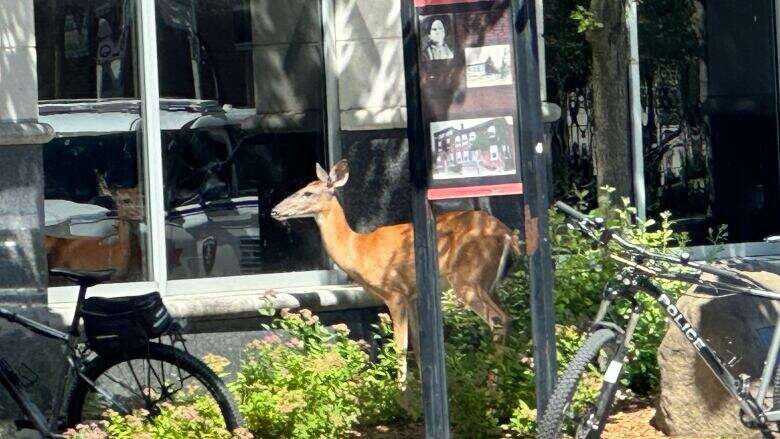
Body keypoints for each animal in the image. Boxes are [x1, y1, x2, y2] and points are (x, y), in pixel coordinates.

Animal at [272, 160, 520, 384]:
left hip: (467, 278)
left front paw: (399, 389)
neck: (358, 249)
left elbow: (400, 346)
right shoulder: (412, 296)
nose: (275, 210)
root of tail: (507, 234)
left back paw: (492, 385)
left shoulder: (395, 293)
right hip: (489, 283)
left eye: (308, 192)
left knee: (498, 319)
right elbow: (418, 344)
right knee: (508, 317)